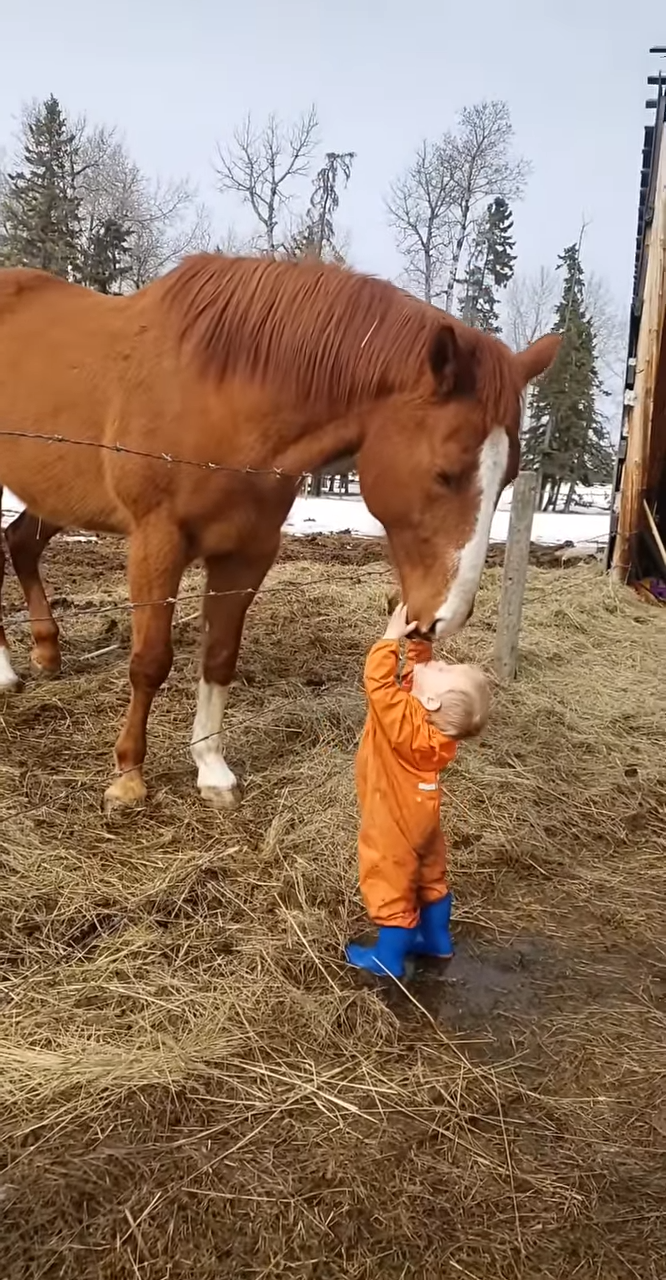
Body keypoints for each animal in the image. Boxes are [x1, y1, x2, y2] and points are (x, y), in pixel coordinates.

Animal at [0, 252, 555, 808]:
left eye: (509, 477)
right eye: (445, 473)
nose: (445, 617)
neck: (219, 396)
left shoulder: (248, 553)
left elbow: (220, 656)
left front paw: (212, 769)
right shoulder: (157, 543)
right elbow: (151, 660)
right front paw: (129, 776)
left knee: (21, 543)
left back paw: (45, 652)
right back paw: (7, 672)